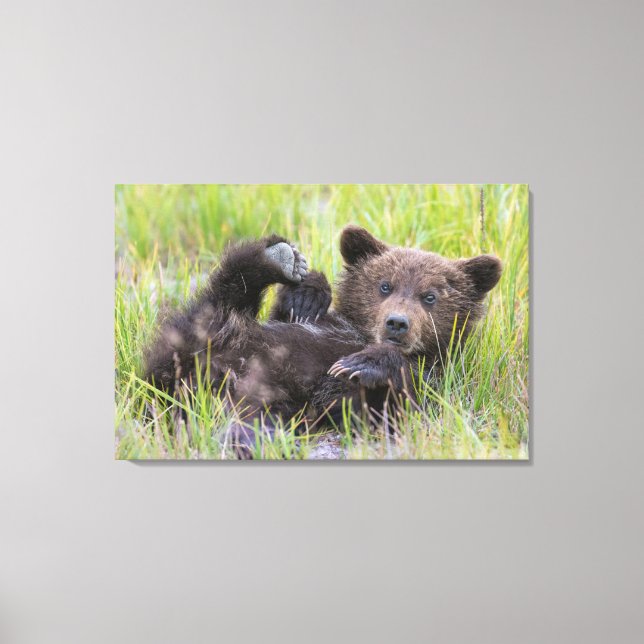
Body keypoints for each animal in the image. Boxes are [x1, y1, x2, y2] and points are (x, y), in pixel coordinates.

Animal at [143, 226, 502, 457]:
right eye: (384, 285)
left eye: (430, 296)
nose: (397, 323)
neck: (359, 333)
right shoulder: (313, 325)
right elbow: (292, 313)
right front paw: (308, 294)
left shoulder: (433, 379)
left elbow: (397, 405)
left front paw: (363, 363)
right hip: (203, 341)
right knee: (218, 301)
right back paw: (276, 257)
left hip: (266, 398)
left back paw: (254, 439)